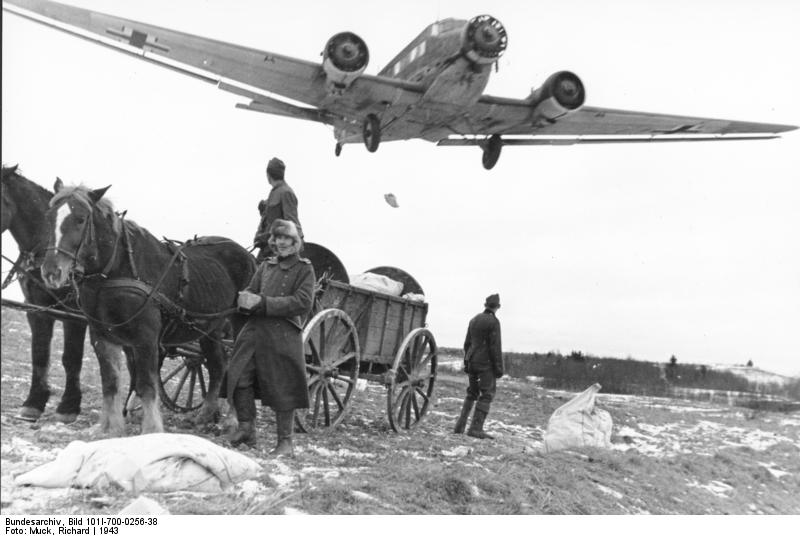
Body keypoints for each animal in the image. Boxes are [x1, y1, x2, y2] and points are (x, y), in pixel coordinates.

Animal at [0, 164, 88, 422]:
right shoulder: (36, 309)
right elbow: (39, 355)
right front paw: (34, 402)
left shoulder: (74, 315)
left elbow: (71, 358)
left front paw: (68, 406)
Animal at [39, 180, 256, 436]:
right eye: (49, 216)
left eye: (81, 219)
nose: (51, 272)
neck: (116, 270)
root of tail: (249, 257)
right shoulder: (102, 336)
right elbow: (110, 383)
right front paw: (109, 428)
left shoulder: (146, 339)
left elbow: (146, 384)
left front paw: (151, 429)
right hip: (209, 329)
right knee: (217, 365)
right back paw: (204, 416)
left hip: (238, 325)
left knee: (237, 366)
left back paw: (232, 419)